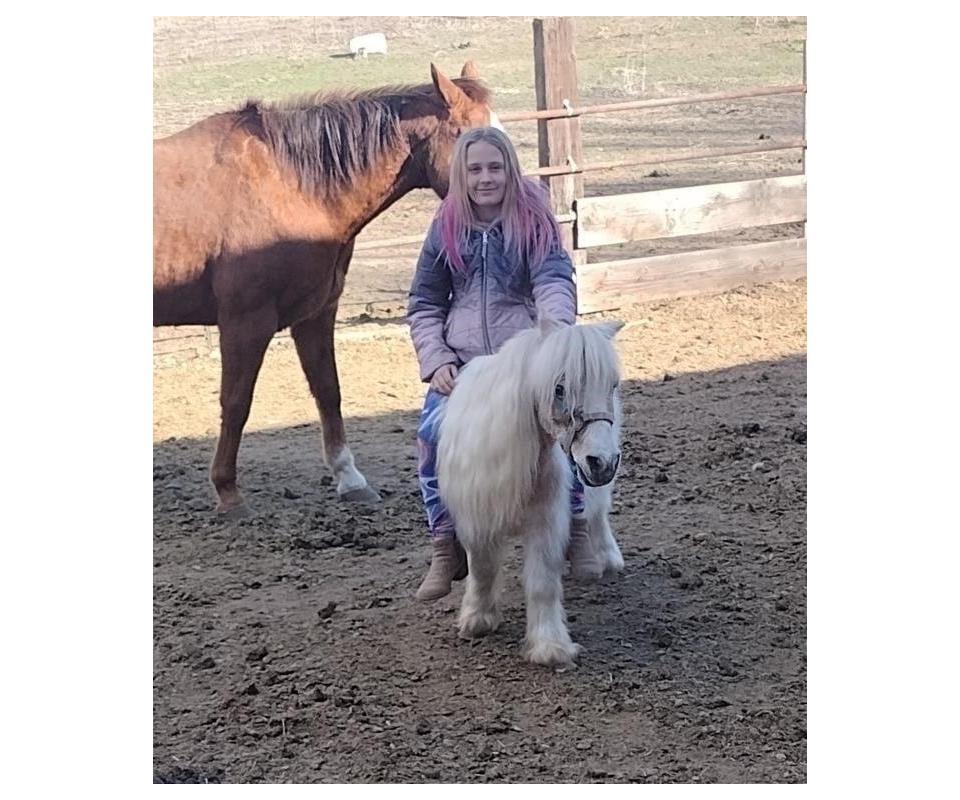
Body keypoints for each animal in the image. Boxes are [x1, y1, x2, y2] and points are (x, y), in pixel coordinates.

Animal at [154, 62, 499, 517]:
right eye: (468, 137)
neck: (290, 184)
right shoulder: (246, 322)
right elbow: (236, 402)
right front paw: (227, 490)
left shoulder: (316, 314)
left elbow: (328, 391)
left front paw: (349, 478)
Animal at [437, 318, 625, 668]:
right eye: (559, 388)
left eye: (612, 385)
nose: (602, 463)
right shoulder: (475, 517)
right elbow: (482, 568)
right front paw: (477, 620)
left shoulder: (546, 519)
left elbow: (542, 581)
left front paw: (550, 647)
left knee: (596, 512)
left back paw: (606, 558)